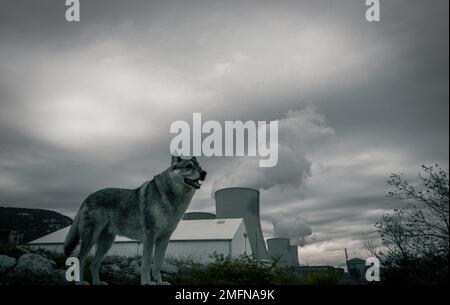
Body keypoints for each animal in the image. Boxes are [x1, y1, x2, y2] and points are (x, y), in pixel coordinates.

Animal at [63, 156, 207, 284]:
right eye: (189, 166)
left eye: (200, 167)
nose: (204, 173)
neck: (173, 200)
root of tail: (88, 197)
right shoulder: (150, 237)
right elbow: (147, 265)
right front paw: (147, 283)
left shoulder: (164, 239)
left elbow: (157, 265)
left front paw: (159, 282)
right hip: (91, 239)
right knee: (80, 260)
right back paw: (80, 283)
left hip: (107, 242)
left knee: (94, 263)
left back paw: (98, 283)